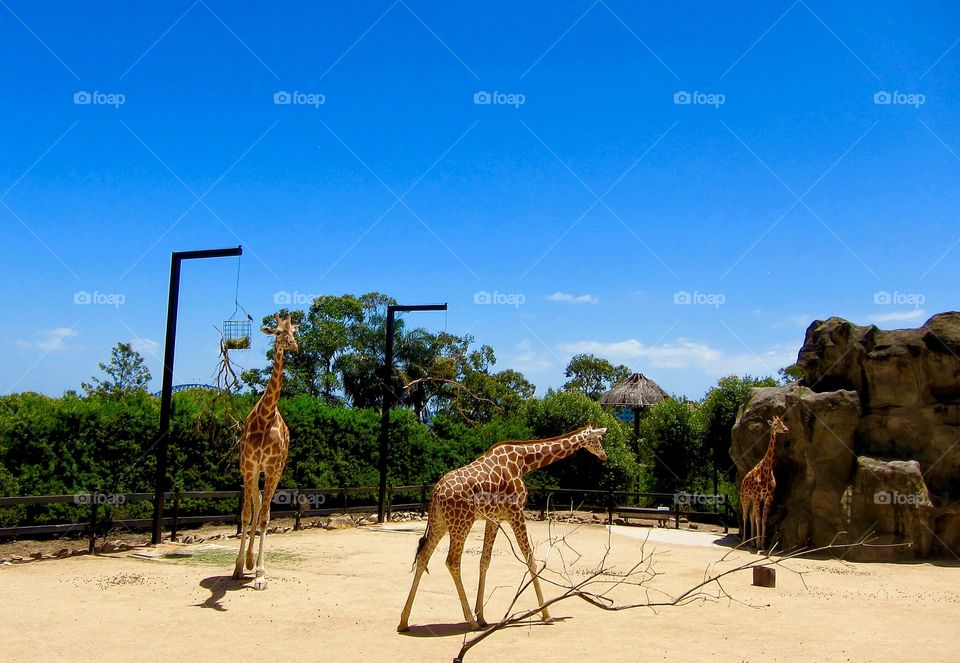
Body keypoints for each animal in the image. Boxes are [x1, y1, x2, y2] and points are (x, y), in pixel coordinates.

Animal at [398, 426, 608, 632]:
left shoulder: (494, 518)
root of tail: (436, 492)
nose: (604, 455)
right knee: (452, 561)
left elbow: (485, 561)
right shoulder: (516, 512)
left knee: (423, 557)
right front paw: (547, 614)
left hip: (439, 522)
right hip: (461, 522)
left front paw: (483, 617)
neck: (524, 462)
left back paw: (404, 621)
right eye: (598, 440)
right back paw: (470, 621)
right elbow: (530, 558)